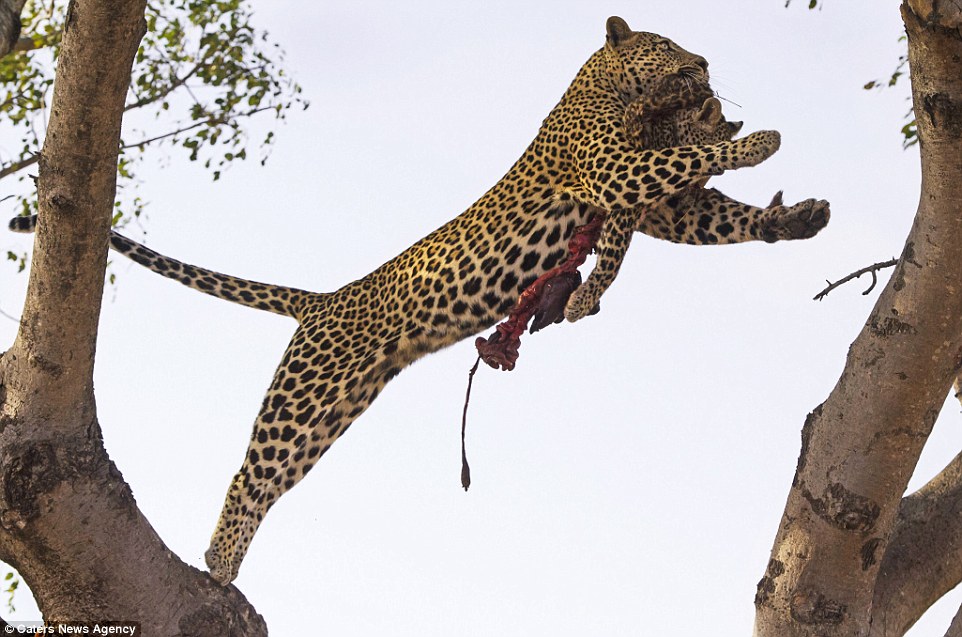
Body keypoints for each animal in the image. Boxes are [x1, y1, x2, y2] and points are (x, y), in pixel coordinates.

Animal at [11, 16, 784, 580]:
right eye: (669, 46)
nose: (705, 63)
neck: (606, 88)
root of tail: (324, 299)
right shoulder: (612, 168)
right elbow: (684, 162)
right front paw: (760, 143)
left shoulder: (641, 196)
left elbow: (681, 209)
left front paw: (785, 209)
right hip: (301, 397)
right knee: (247, 472)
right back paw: (220, 563)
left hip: (334, 411)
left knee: (271, 479)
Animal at [560, 76, 828, 320]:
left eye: (717, 173)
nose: (688, 197)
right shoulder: (626, 187)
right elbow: (613, 256)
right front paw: (583, 300)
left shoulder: (660, 210)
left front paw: (797, 219)